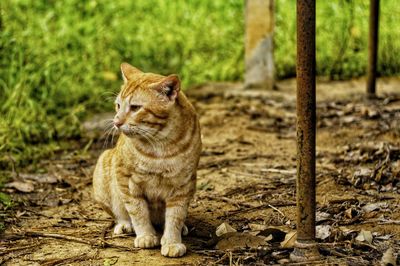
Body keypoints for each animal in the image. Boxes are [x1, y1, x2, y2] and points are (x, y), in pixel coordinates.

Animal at [92, 62, 202, 258]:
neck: (161, 146)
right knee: (120, 213)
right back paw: (124, 225)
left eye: (135, 107)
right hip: (104, 168)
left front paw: (172, 241)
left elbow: (176, 216)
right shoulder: (127, 181)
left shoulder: (183, 185)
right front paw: (146, 236)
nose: (116, 122)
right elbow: (138, 212)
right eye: (118, 105)